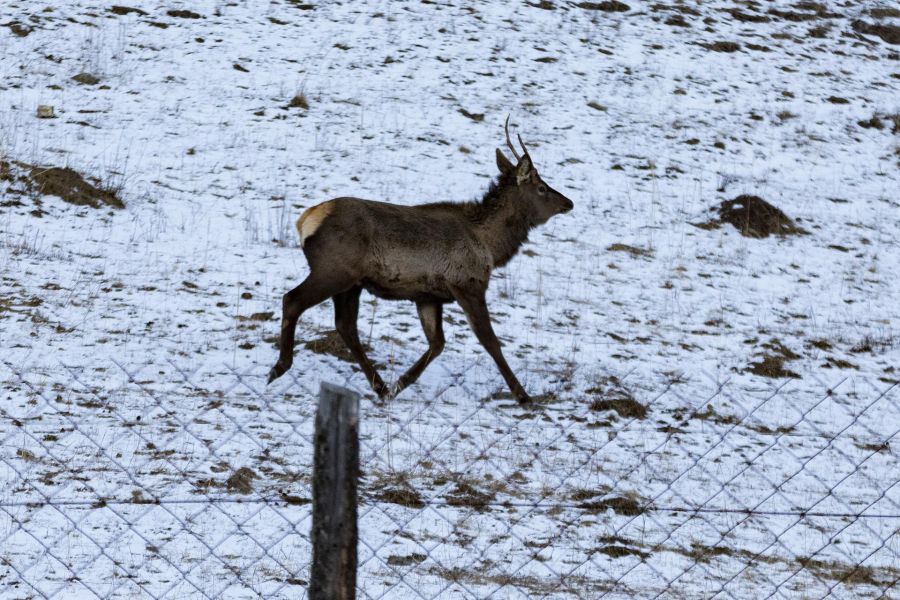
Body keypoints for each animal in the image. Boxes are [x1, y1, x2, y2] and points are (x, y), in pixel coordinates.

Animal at [270, 118, 572, 406]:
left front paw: (399, 385)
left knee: (346, 326)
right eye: (542, 188)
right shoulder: (468, 285)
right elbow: (490, 341)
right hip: (334, 270)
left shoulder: (428, 296)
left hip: (351, 283)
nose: (568, 203)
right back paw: (280, 366)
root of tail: (305, 220)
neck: (491, 246)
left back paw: (381, 386)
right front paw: (524, 396)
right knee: (292, 299)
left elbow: (437, 343)